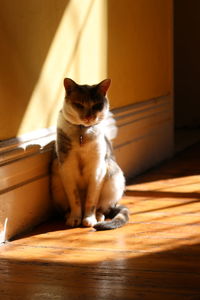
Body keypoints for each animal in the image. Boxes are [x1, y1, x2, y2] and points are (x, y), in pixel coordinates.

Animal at [50, 77, 129, 230]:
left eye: (97, 105)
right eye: (79, 105)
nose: (88, 117)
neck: (82, 132)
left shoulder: (97, 170)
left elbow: (91, 200)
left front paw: (88, 220)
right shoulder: (67, 168)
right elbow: (75, 200)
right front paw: (75, 219)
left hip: (114, 177)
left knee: (103, 208)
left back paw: (98, 218)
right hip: (57, 182)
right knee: (68, 208)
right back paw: (68, 216)